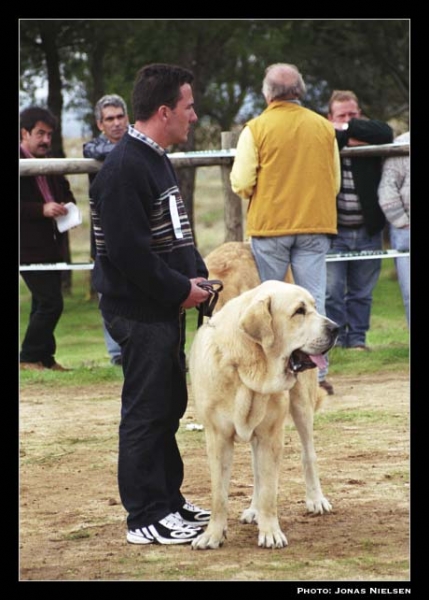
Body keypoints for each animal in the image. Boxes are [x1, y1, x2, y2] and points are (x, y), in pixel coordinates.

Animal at [189, 282, 336, 548]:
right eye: (299, 311)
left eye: (314, 308)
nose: (337, 328)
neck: (248, 366)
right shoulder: (217, 438)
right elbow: (219, 494)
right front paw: (212, 535)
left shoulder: (270, 435)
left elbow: (269, 491)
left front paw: (270, 532)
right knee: (256, 471)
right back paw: (253, 510)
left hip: (301, 406)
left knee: (308, 455)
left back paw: (315, 499)